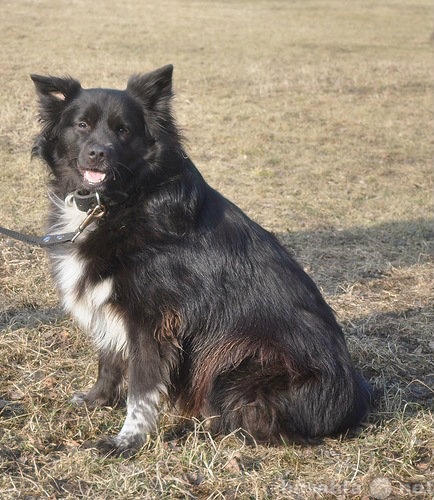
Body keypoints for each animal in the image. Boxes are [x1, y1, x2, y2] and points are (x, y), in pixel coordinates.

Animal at [31, 64, 370, 456]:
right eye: (81, 124)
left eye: (123, 130)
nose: (97, 154)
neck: (122, 200)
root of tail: (352, 403)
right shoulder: (110, 305)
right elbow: (109, 360)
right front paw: (95, 401)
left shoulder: (153, 319)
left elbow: (142, 387)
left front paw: (127, 442)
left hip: (234, 368)